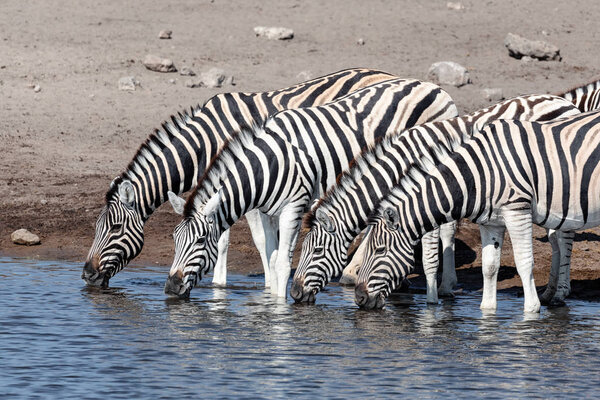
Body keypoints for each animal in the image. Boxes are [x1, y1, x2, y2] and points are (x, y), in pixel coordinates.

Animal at [81, 68, 398, 288]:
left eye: (115, 228)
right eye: (96, 228)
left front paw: (230, 285)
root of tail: (385, 74)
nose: (86, 275)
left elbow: (243, 239)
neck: (205, 142)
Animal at [163, 77, 454, 296]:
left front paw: (280, 312)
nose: (170, 288)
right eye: (175, 240)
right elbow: (271, 256)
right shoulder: (268, 209)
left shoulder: (294, 207)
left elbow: (282, 262)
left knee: (445, 226)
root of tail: (433, 86)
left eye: (200, 240)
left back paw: (445, 286)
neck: (268, 164)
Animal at [292, 95, 580, 304]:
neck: (401, 164)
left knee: (564, 237)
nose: (294, 294)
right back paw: (550, 291)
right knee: (556, 237)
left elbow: (430, 249)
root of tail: (565, 102)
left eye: (316, 251)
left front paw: (433, 296)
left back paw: (560, 293)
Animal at [354, 109, 600, 312]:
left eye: (380, 250)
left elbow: (523, 262)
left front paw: (531, 310)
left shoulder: (517, 210)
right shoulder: (490, 221)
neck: (480, 174)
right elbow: (489, 267)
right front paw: (487, 312)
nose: (358, 298)